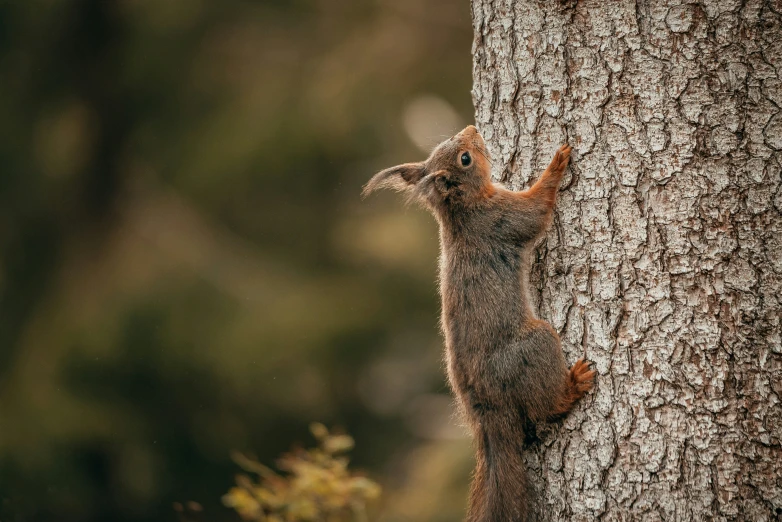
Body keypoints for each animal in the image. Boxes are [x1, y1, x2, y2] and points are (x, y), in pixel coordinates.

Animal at [364, 124, 596, 516]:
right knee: (546, 407)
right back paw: (574, 384)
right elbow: (536, 210)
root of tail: (487, 410)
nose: (472, 128)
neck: (463, 209)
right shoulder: (502, 218)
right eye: (465, 159)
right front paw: (556, 163)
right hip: (534, 346)